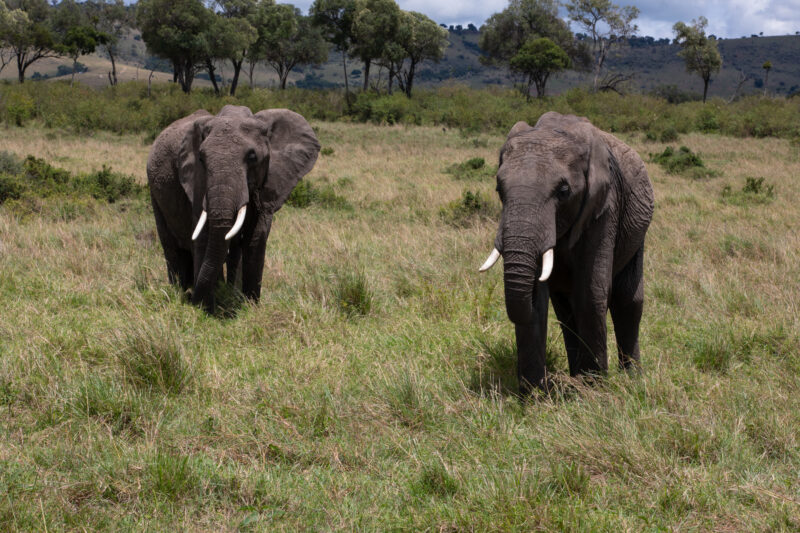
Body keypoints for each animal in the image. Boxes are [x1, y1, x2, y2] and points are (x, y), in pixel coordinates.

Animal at [147, 105, 320, 312]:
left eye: (252, 157)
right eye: (201, 158)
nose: (193, 301)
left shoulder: (270, 181)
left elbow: (256, 236)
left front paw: (250, 306)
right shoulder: (196, 183)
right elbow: (203, 237)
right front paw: (207, 309)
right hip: (153, 191)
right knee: (171, 245)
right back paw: (180, 290)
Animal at [479, 111, 654, 395]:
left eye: (563, 192)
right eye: (498, 190)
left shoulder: (604, 206)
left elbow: (591, 292)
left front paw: (595, 390)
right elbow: (539, 301)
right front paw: (535, 395)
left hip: (638, 231)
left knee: (627, 301)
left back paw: (629, 379)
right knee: (565, 312)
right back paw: (575, 378)